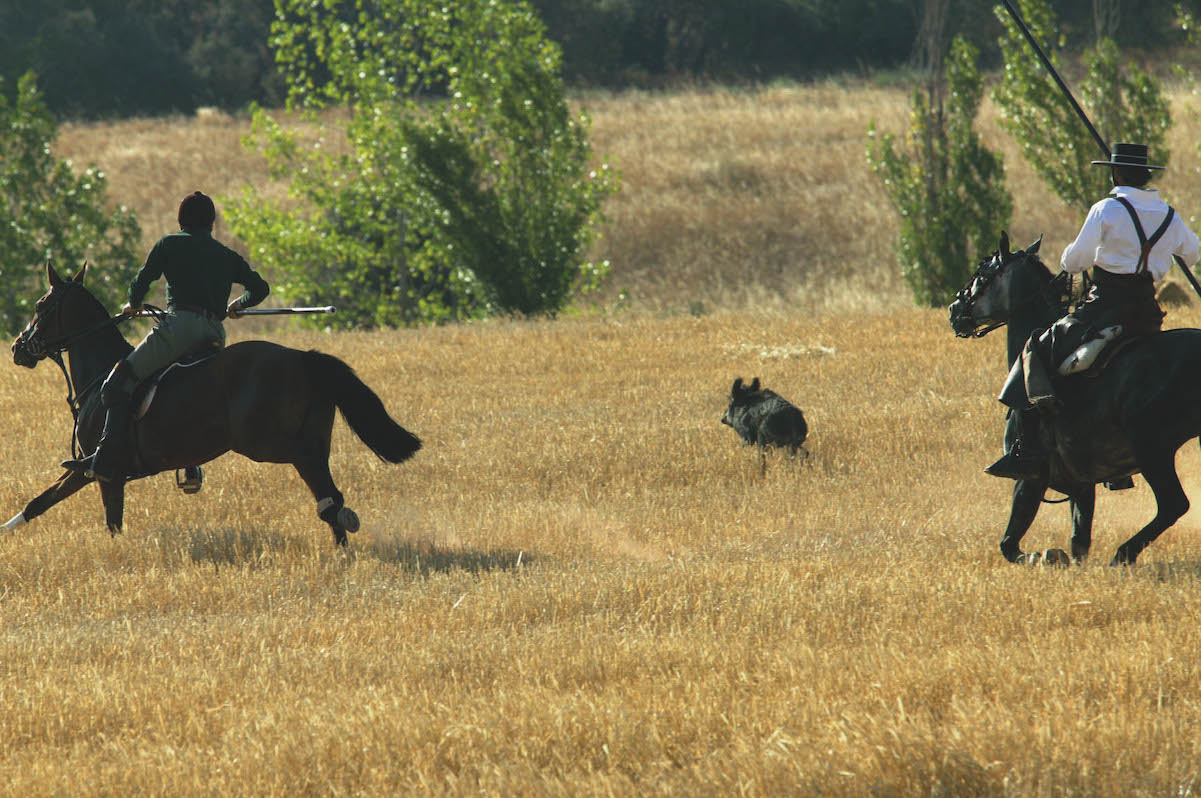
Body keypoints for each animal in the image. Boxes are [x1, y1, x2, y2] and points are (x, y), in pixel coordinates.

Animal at [5, 264, 422, 545]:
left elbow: (100, 518)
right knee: (329, 497)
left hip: (269, 445)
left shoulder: (102, 472)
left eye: (42, 306)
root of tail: (303, 358)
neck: (100, 371)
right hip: (315, 441)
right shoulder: (91, 474)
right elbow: (40, 503)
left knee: (326, 495)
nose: (18, 348)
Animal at [951, 231, 1201, 567]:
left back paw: (1123, 554)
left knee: (1174, 504)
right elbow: (1079, 540)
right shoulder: (1081, 482)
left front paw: (1045, 556)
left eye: (982, 273)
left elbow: (1010, 544)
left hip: (1152, 449)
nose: (954, 311)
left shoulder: (1030, 480)